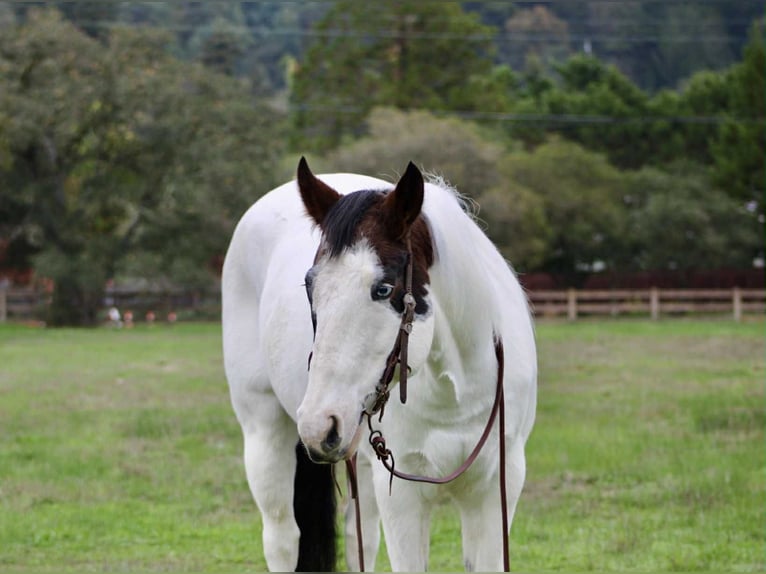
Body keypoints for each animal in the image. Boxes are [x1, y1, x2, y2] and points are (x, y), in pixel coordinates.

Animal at [222, 158, 537, 572]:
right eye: (310, 286)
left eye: (384, 289)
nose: (319, 425)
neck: (457, 391)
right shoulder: (402, 496)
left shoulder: (497, 488)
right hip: (265, 430)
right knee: (283, 539)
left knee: (361, 539)